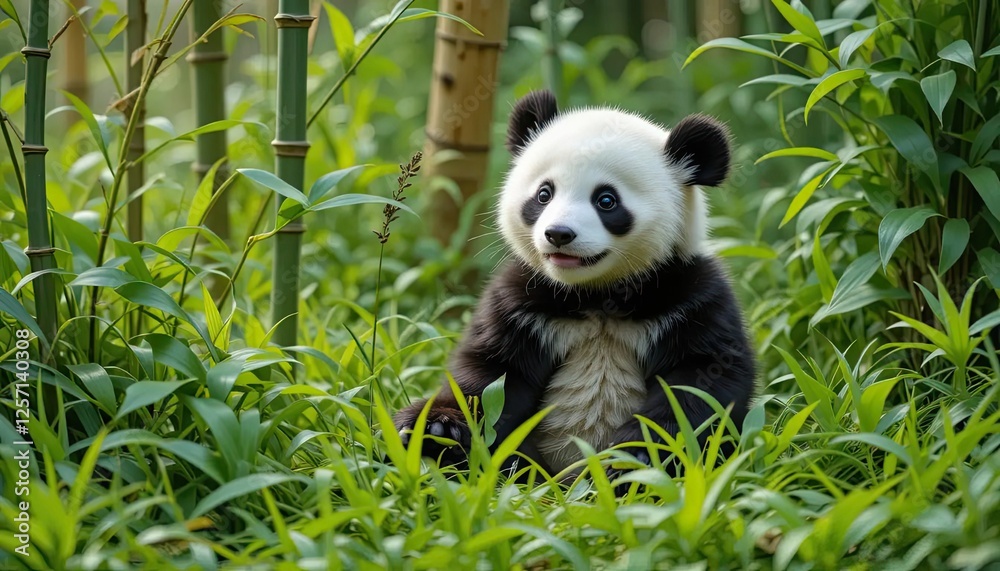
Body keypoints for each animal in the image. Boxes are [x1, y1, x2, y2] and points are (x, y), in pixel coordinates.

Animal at [394, 89, 755, 484]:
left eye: (606, 200)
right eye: (544, 194)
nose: (559, 234)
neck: (596, 296)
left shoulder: (692, 296)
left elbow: (702, 382)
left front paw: (634, 456)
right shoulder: (518, 300)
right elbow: (490, 375)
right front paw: (439, 428)